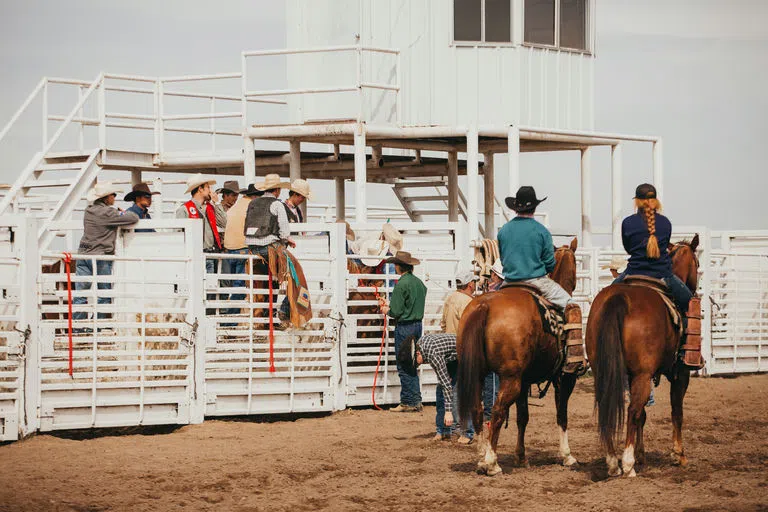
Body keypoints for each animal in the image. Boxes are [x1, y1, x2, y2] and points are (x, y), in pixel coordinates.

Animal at [456, 239, 584, 476]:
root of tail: (483, 305)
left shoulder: (525, 382)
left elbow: (522, 417)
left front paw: (521, 457)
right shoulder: (563, 378)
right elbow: (562, 415)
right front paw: (567, 456)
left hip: (480, 374)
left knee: (478, 410)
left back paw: (482, 455)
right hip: (510, 379)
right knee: (497, 411)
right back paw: (491, 463)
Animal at [584, 234, 700, 478]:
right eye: (697, 263)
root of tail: (618, 298)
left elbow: (643, 416)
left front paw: (641, 454)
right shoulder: (680, 374)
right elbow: (676, 411)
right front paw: (678, 454)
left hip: (606, 372)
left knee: (610, 408)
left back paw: (613, 461)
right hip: (643, 376)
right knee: (632, 409)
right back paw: (627, 465)